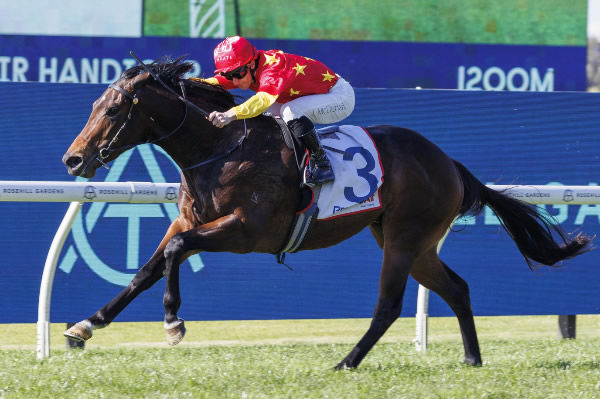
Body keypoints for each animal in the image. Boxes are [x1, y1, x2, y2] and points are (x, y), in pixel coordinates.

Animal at [62, 57, 592, 370]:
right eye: (95, 104)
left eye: (113, 111)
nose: (73, 159)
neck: (220, 147)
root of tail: (449, 163)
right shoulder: (190, 220)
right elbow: (146, 269)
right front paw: (85, 326)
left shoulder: (244, 232)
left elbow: (174, 251)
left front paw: (173, 321)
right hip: (411, 241)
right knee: (457, 288)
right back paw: (472, 359)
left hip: (404, 238)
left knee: (389, 305)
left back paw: (347, 362)